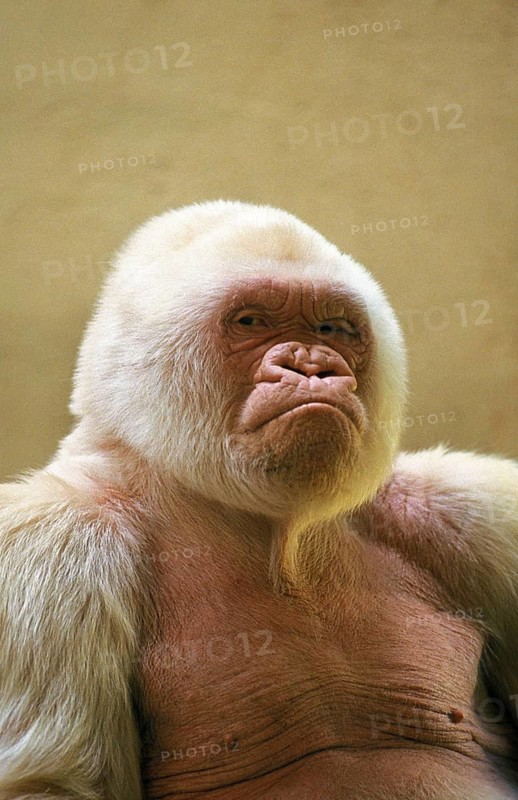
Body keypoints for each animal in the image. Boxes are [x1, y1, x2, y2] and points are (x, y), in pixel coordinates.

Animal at [0, 200, 517, 800]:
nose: (314, 366)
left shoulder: (470, 508)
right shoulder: (48, 539)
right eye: (251, 322)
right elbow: (54, 783)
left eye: (332, 329)